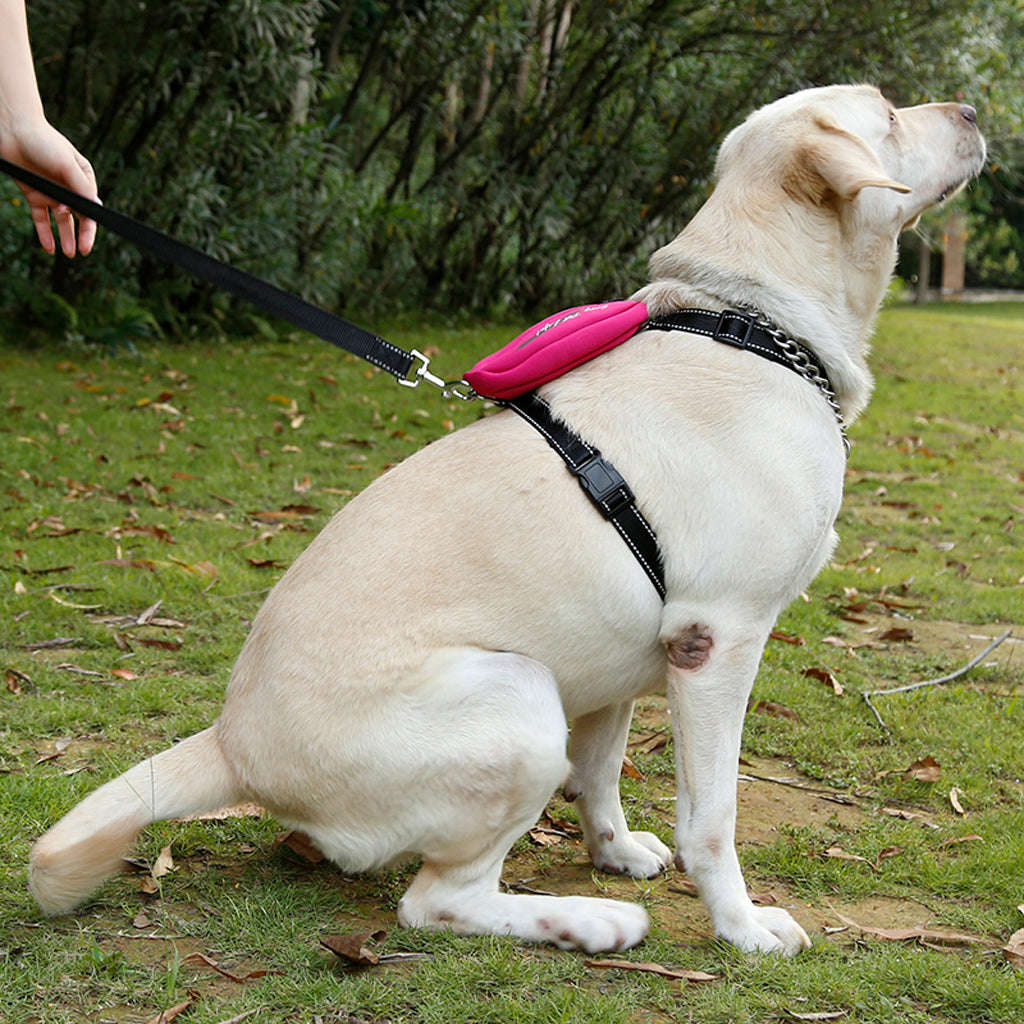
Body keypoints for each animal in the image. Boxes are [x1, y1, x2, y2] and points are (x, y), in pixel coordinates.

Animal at [29, 83, 983, 954]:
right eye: (888, 114)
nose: (974, 111)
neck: (749, 321)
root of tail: (231, 744)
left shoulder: (634, 654)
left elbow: (600, 772)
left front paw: (615, 851)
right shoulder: (716, 640)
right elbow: (711, 816)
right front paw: (742, 927)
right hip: (521, 698)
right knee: (435, 904)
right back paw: (587, 923)